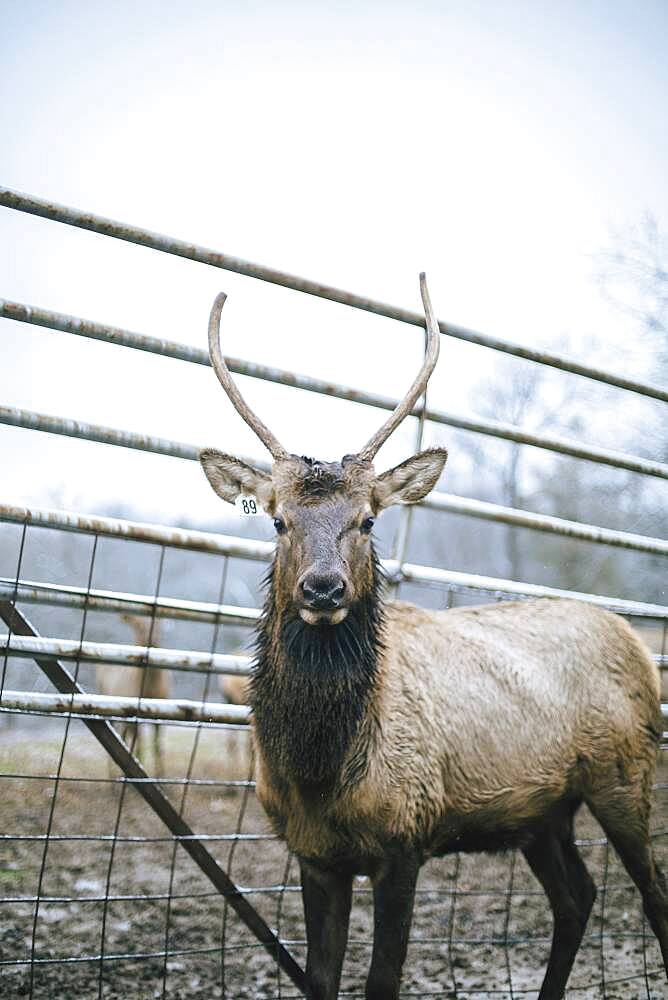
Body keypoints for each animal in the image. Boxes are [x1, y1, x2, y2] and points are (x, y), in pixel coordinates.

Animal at [196, 276, 664, 1000]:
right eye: (277, 519)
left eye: (367, 519)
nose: (324, 589)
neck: (320, 772)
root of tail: (637, 644)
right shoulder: (313, 854)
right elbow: (320, 978)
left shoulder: (404, 840)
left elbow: (381, 982)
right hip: (543, 812)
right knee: (576, 898)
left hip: (626, 775)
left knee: (651, 896)